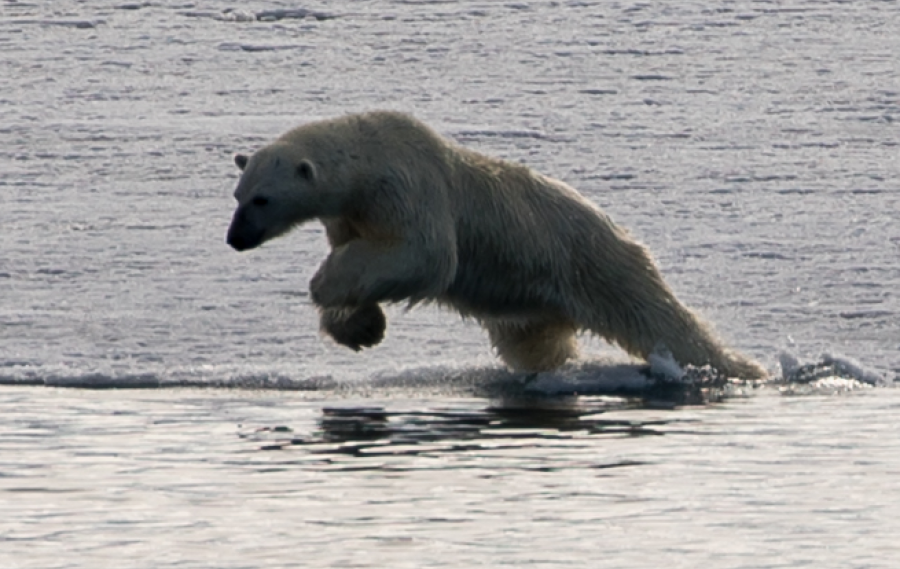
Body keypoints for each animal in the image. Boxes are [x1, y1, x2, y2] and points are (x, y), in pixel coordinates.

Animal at [225, 110, 768, 378]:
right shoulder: (350, 214)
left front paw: (325, 287)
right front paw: (361, 326)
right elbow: (361, 258)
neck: (368, 160)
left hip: (595, 263)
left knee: (654, 314)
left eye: (262, 199)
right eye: (238, 194)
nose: (235, 239)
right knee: (534, 342)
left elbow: (425, 254)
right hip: (532, 301)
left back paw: (735, 367)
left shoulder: (408, 187)